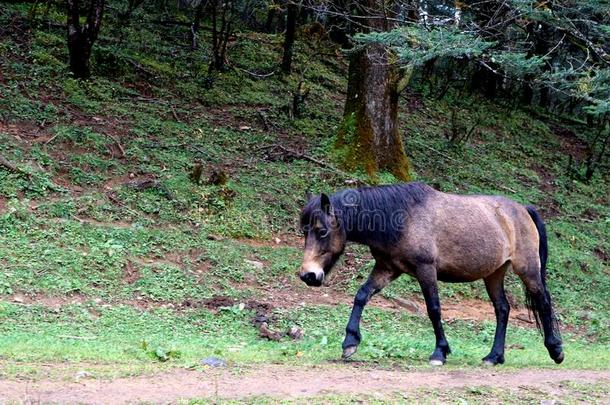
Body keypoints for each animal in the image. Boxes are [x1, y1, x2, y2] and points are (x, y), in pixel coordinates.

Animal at [298, 183, 560, 366]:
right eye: (304, 231)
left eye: (322, 231)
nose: (308, 275)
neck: (404, 218)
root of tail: (522, 209)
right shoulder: (387, 269)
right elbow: (362, 295)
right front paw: (350, 343)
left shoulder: (426, 269)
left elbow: (433, 309)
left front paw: (440, 352)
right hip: (494, 273)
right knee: (502, 309)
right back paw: (494, 356)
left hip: (527, 269)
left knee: (543, 302)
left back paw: (556, 350)